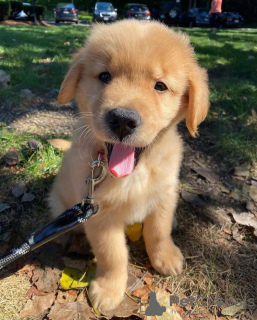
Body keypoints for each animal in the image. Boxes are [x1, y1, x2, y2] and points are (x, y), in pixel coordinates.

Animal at [48, 20, 208, 312]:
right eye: (104, 76)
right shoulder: (99, 214)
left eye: (160, 86)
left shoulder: (164, 193)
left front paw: (166, 257)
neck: (135, 172)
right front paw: (109, 289)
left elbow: (158, 230)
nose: (122, 120)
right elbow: (112, 255)